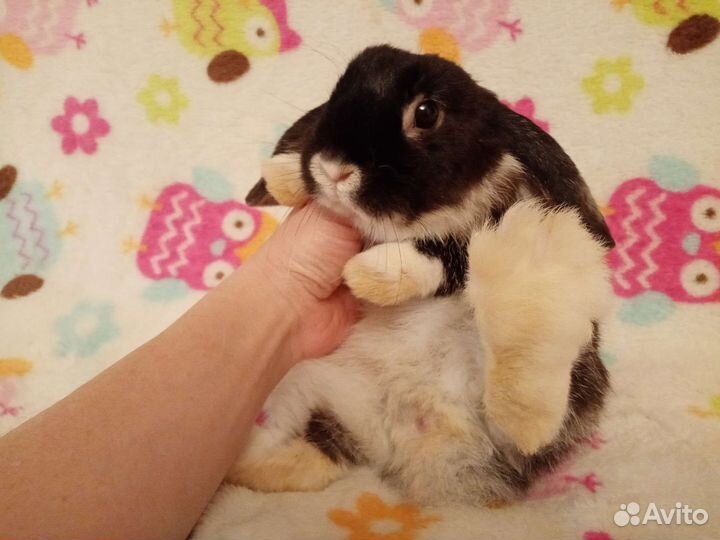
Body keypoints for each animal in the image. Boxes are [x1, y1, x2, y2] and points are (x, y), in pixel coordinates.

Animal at [230, 45, 615, 506]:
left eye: (426, 114)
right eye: (337, 92)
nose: (333, 167)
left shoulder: (469, 232)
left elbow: (454, 254)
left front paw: (371, 272)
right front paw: (285, 175)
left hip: (564, 383)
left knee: (525, 428)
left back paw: (524, 255)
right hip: (310, 391)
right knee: (314, 443)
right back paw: (243, 466)